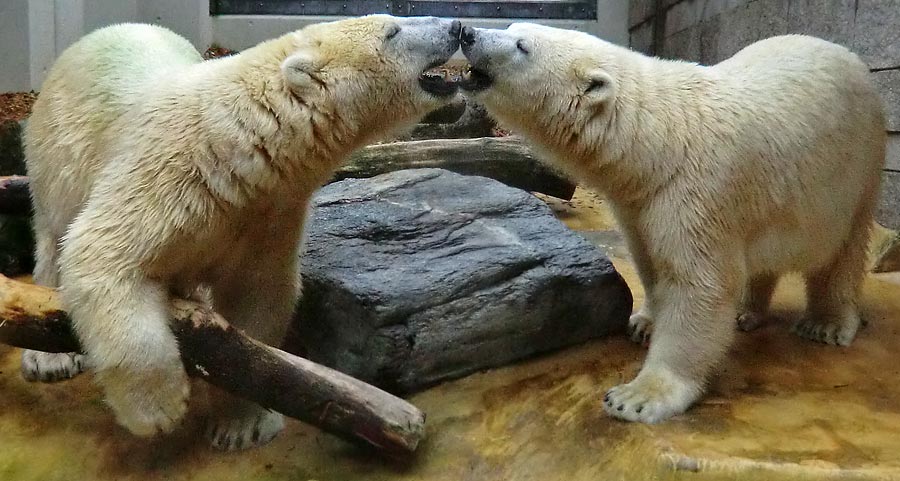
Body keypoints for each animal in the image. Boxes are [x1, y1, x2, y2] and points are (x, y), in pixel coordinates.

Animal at [24, 15, 460, 450]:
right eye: (392, 32)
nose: (457, 27)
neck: (237, 147)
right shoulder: (167, 175)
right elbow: (101, 253)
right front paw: (158, 410)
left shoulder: (267, 213)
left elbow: (257, 297)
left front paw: (240, 424)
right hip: (56, 156)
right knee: (53, 239)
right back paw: (49, 358)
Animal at [464, 25, 884, 424]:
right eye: (512, 26)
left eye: (523, 45)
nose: (467, 33)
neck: (658, 141)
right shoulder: (637, 205)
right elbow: (649, 262)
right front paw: (644, 323)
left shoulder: (699, 192)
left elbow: (698, 284)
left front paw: (636, 397)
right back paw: (746, 311)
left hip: (854, 171)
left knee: (842, 250)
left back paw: (826, 324)